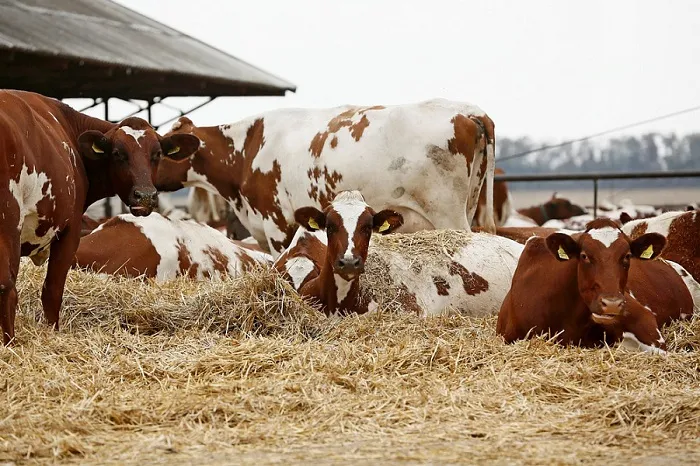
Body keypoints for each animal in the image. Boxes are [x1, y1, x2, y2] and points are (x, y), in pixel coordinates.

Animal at [0, 90, 200, 342]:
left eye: (157, 154)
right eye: (118, 154)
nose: (145, 196)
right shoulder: (70, 230)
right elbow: (52, 290)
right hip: (9, 225)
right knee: (7, 289)